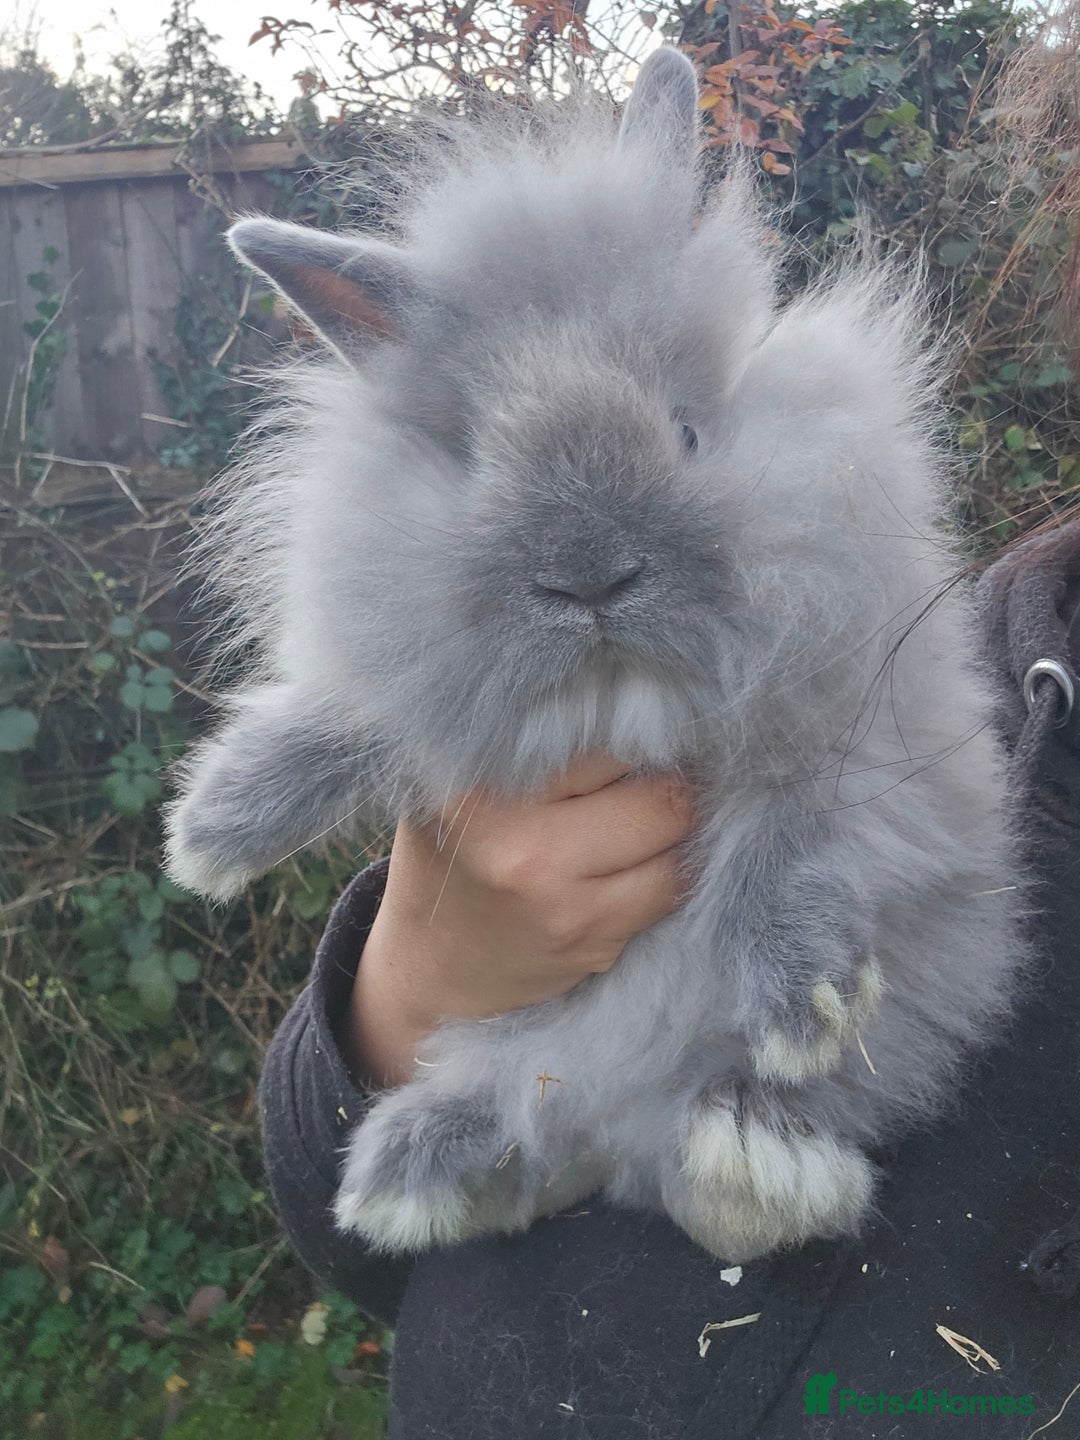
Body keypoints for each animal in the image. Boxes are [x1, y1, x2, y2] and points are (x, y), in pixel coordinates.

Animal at [164, 47, 1029, 1262]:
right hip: (532, 1076)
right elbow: (350, 714)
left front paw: (802, 1011)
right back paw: (401, 1176)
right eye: (478, 456)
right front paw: (209, 836)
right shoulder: (423, 680)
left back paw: (752, 1150)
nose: (590, 579)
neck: (621, 693)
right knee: (526, 1124)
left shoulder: (860, 724)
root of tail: (627, 1139)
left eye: (685, 430)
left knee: (738, 1165)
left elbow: (793, 834)